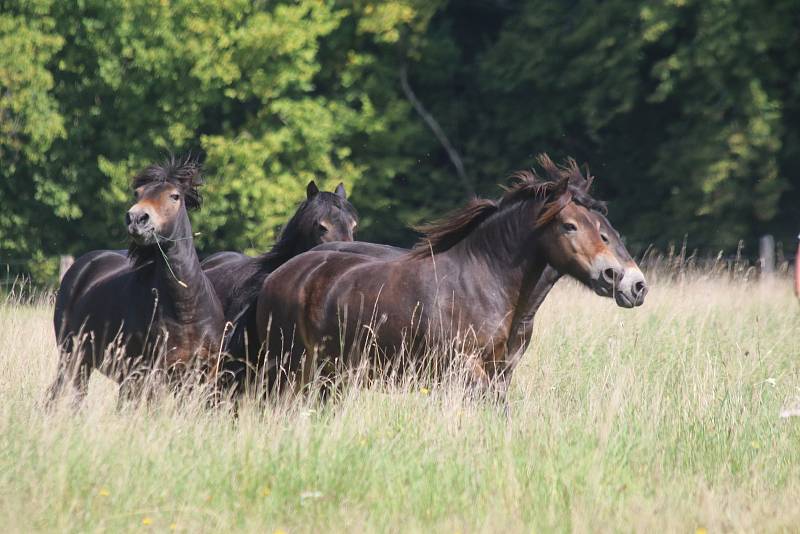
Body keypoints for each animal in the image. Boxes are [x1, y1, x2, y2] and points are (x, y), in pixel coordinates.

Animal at [47, 157, 225, 408]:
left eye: (174, 196)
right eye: (137, 193)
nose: (136, 219)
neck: (186, 309)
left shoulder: (201, 374)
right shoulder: (149, 372)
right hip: (73, 357)